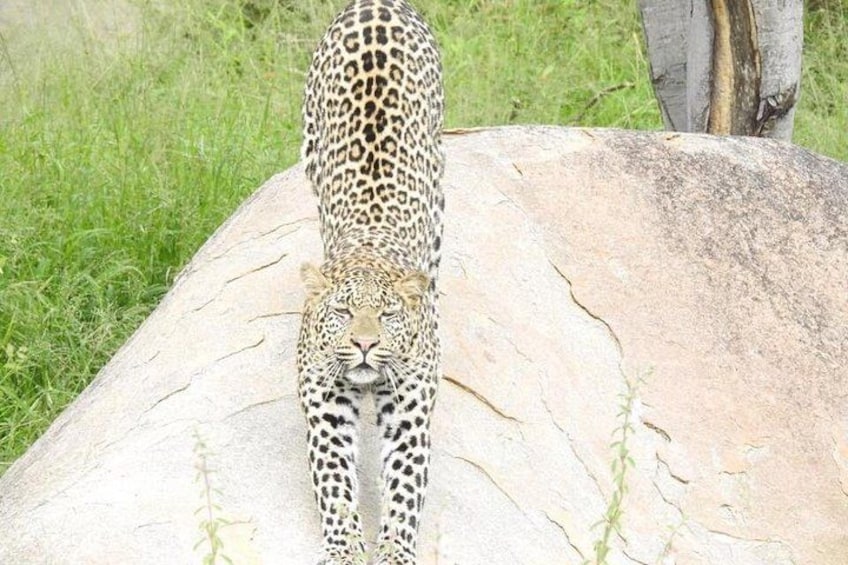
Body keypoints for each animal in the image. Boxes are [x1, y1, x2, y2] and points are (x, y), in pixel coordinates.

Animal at [295, 0, 445, 563]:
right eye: (341, 312)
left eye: (387, 314)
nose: (363, 344)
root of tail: (376, 4)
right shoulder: (323, 404)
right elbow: (335, 484)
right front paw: (345, 550)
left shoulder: (410, 409)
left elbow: (403, 486)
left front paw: (395, 550)